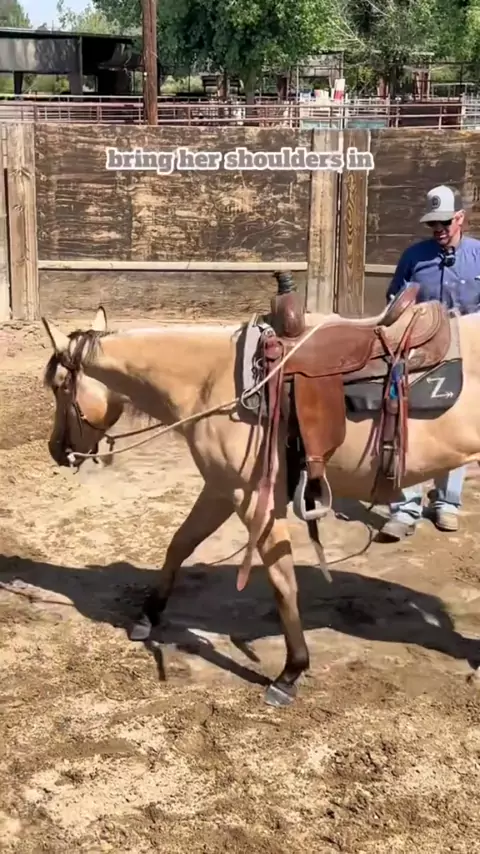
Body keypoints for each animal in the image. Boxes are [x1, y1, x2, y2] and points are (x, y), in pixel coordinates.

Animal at [41, 298, 480, 706]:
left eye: (59, 386)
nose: (56, 450)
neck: (211, 381)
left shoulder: (253, 498)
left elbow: (282, 581)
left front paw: (290, 673)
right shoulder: (221, 488)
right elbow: (180, 544)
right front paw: (148, 616)